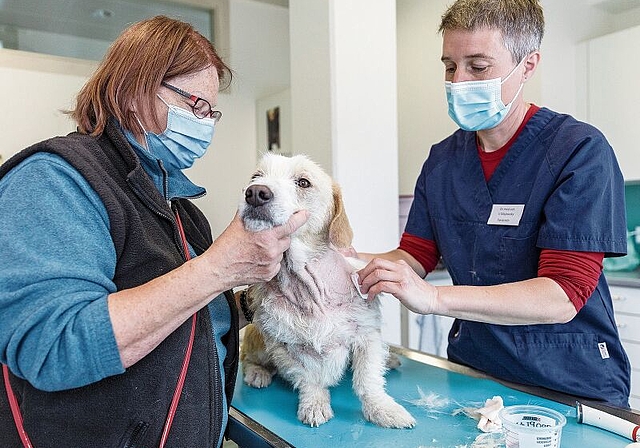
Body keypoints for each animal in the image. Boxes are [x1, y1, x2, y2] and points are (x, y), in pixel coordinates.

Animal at [239, 155, 416, 430]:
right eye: (256, 176)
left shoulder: (367, 336)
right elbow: (308, 378)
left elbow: (368, 380)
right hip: (255, 338)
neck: (309, 289)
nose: (255, 193)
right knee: (246, 357)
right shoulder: (284, 347)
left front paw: (382, 409)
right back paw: (257, 372)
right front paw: (314, 403)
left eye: (303, 182)